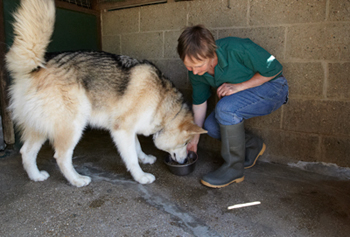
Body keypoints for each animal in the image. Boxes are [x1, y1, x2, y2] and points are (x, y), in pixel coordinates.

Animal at [5, 0, 206, 187]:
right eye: (186, 143)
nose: (184, 160)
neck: (161, 101)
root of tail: (37, 66)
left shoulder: (129, 129)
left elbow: (137, 147)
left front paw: (145, 158)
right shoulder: (121, 130)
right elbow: (132, 158)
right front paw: (141, 177)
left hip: (41, 128)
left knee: (26, 152)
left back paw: (36, 176)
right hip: (74, 126)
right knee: (61, 157)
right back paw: (77, 180)